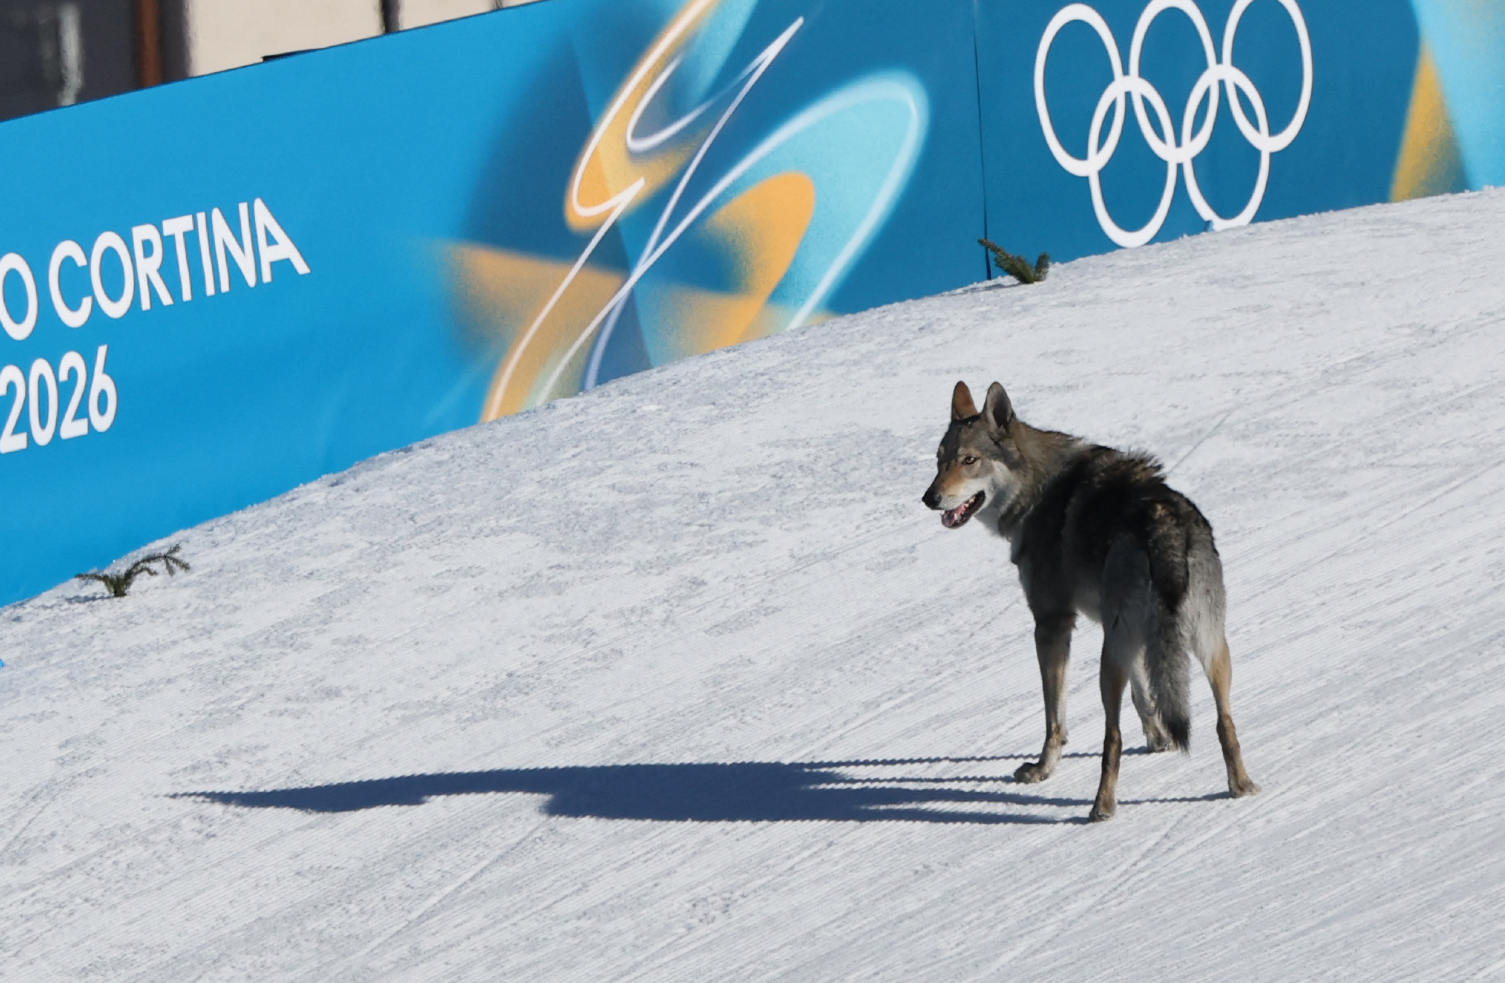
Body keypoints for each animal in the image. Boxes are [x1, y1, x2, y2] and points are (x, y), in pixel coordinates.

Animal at [921, 381, 1259, 821]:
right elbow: (1145, 694)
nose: (929, 498)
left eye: (969, 461)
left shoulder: (1052, 623)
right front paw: (1160, 740)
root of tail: (1162, 520)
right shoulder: (1127, 634)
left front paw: (1042, 770)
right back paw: (1241, 787)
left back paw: (1101, 808)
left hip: (1108, 659)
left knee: (1111, 738)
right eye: (939, 461)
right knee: (1225, 722)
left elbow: (1055, 719)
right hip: (1208, 646)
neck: (1036, 491)